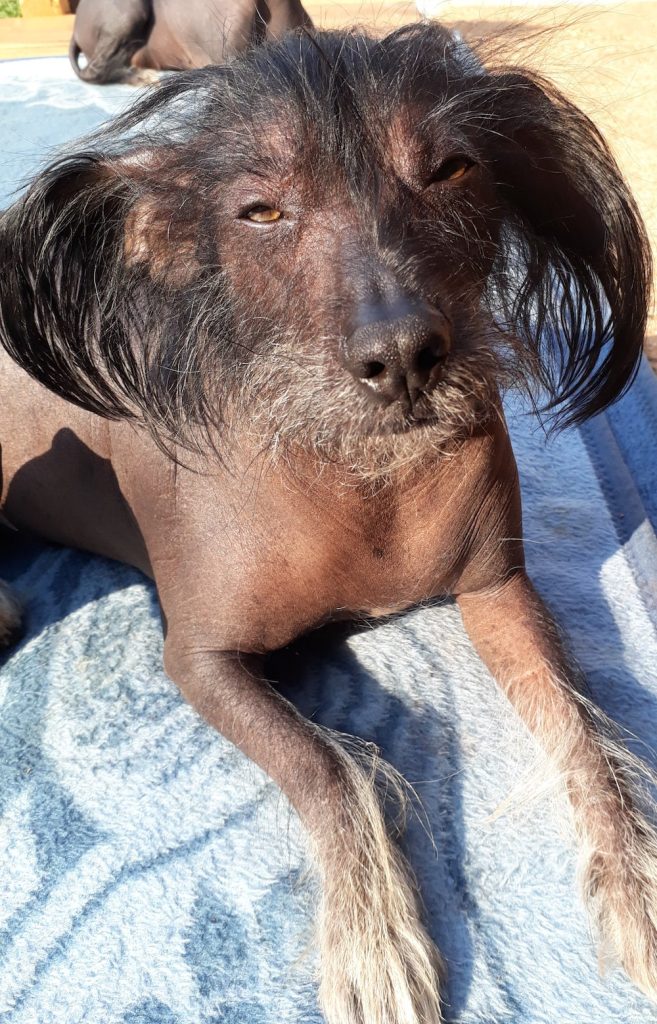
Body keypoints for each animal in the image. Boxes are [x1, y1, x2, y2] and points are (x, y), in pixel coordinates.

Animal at [1, 24, 654, 1024]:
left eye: (449, 168)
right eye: (260, 212)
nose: (404, 355)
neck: (360, 474)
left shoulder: (499, 588)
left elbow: (584, 722)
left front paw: (634, 878)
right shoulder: (197, 659)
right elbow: (325, 762)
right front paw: (373, 933)